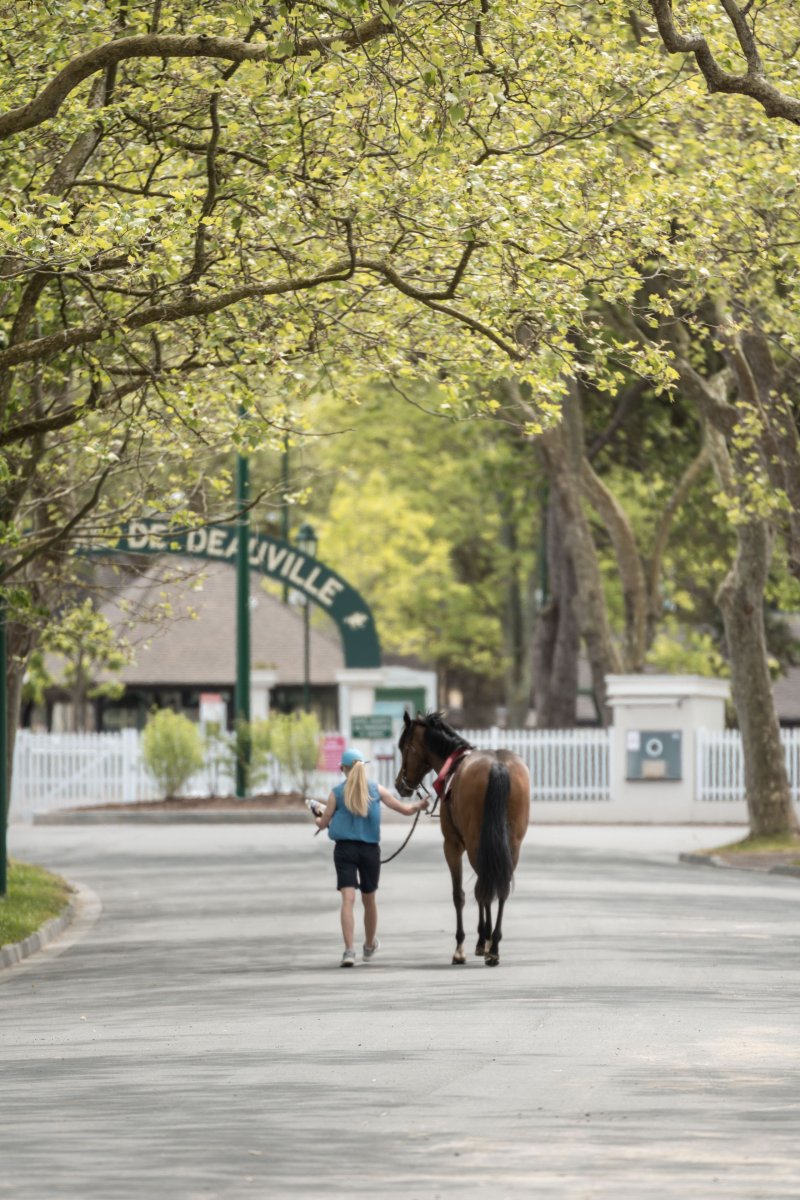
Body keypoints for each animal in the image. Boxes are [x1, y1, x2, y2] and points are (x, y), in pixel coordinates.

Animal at [396, 711, 530, 966]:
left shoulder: (453, 845)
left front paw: (465, 946)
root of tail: (498, 765)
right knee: (500, 887)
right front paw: (484, 940)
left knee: (483, 888)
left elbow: (460, 895)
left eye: (402, 747)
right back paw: (494, 946)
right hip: (511, 845)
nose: (400, 785)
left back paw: (487, 946)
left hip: (477, 843)